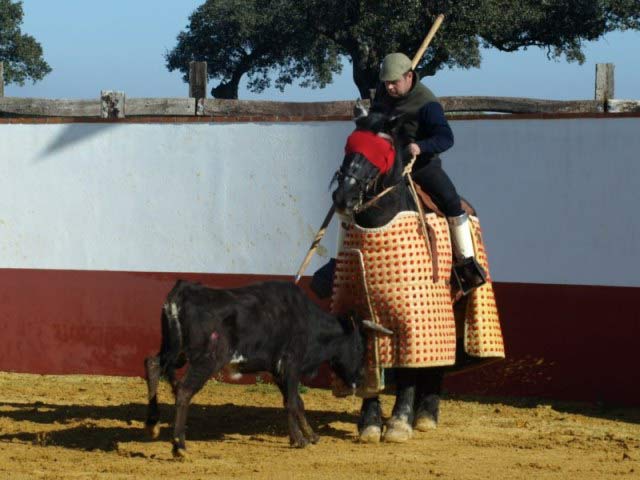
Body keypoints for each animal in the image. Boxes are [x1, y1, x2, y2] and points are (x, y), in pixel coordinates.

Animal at [144, 280, 390, 456]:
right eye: (360, 346)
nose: (360, 377)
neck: (307, 319)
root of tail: (183, 291)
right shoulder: (291, 363)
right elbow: (292, 402)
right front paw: (300, 440)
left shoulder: (279, 370)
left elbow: (296, 402)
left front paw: (310, 436)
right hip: (206, 360)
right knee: (184, 391)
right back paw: (179, 446)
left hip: (174, 351)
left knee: (153, 365)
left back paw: (153, 423)